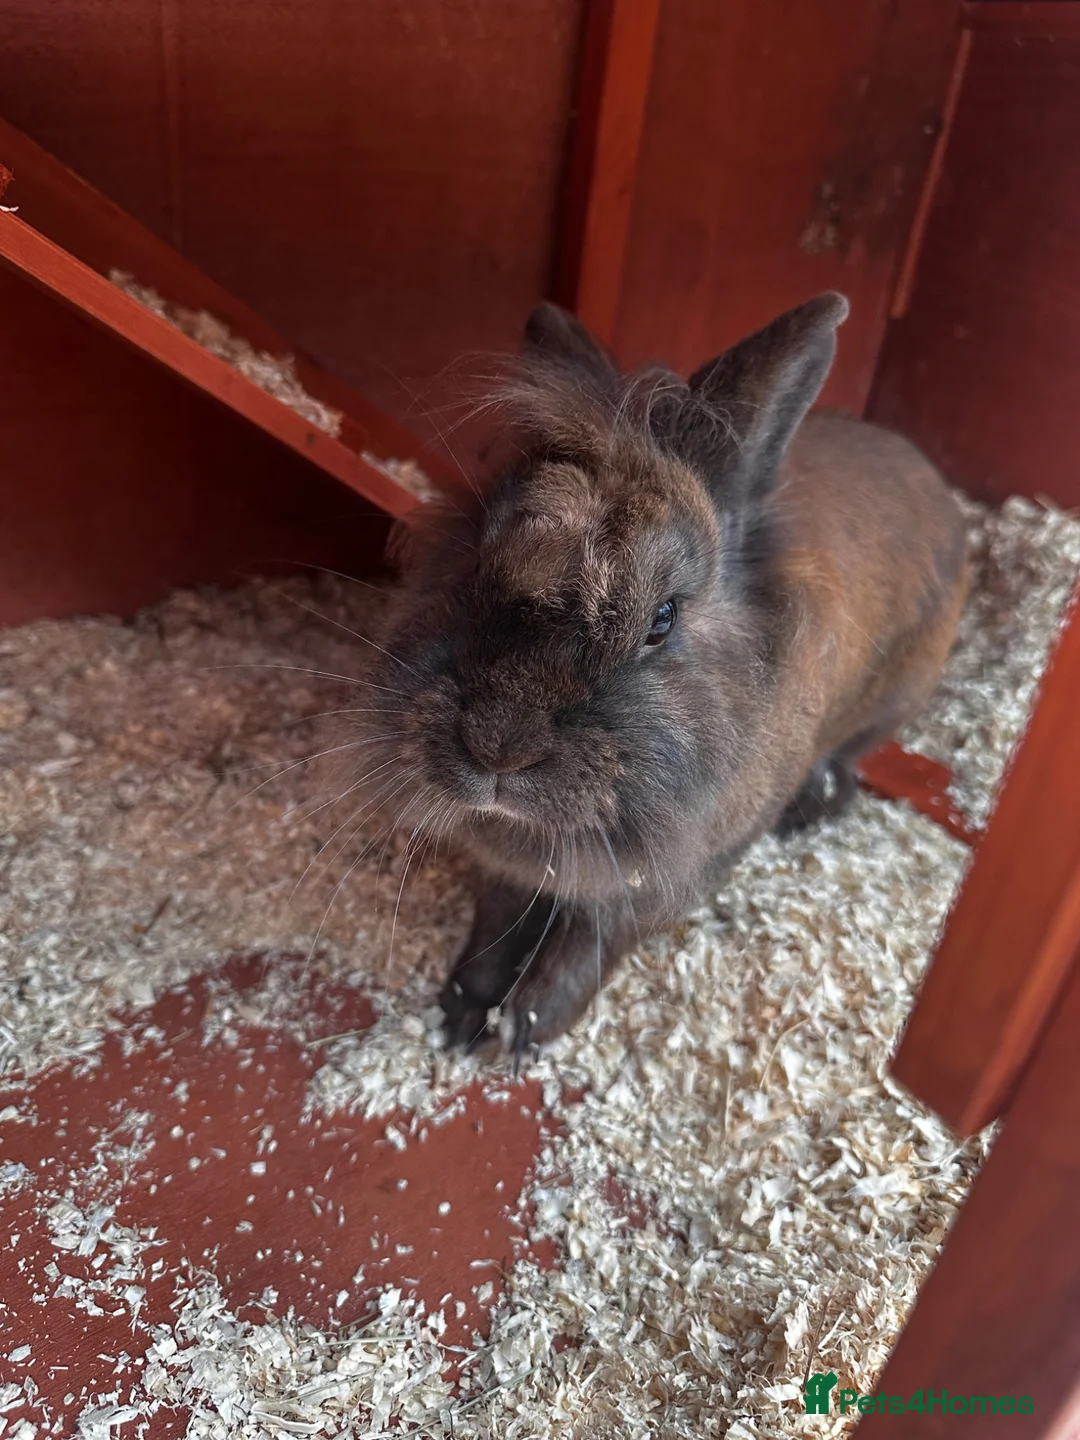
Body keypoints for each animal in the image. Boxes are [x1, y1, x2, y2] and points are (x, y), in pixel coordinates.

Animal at [344, 293, 968, 1065]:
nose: (497, 746)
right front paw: (462, 1017)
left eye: (663, 619)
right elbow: (496, 923)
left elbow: (590, 943)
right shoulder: (504, 867)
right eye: (474, 563)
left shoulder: (661, 880)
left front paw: (527, 1030)